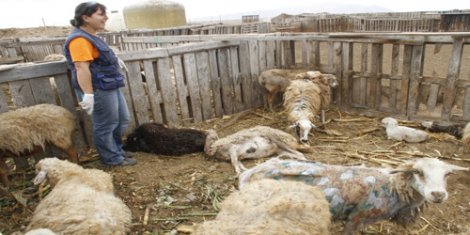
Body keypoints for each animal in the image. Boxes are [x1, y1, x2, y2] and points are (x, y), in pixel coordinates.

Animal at [241, 158, 468, 235]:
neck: (392, 188)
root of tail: (248, 173)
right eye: (418, 172)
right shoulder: (355, 217)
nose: (438, 194)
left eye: (448, 174)